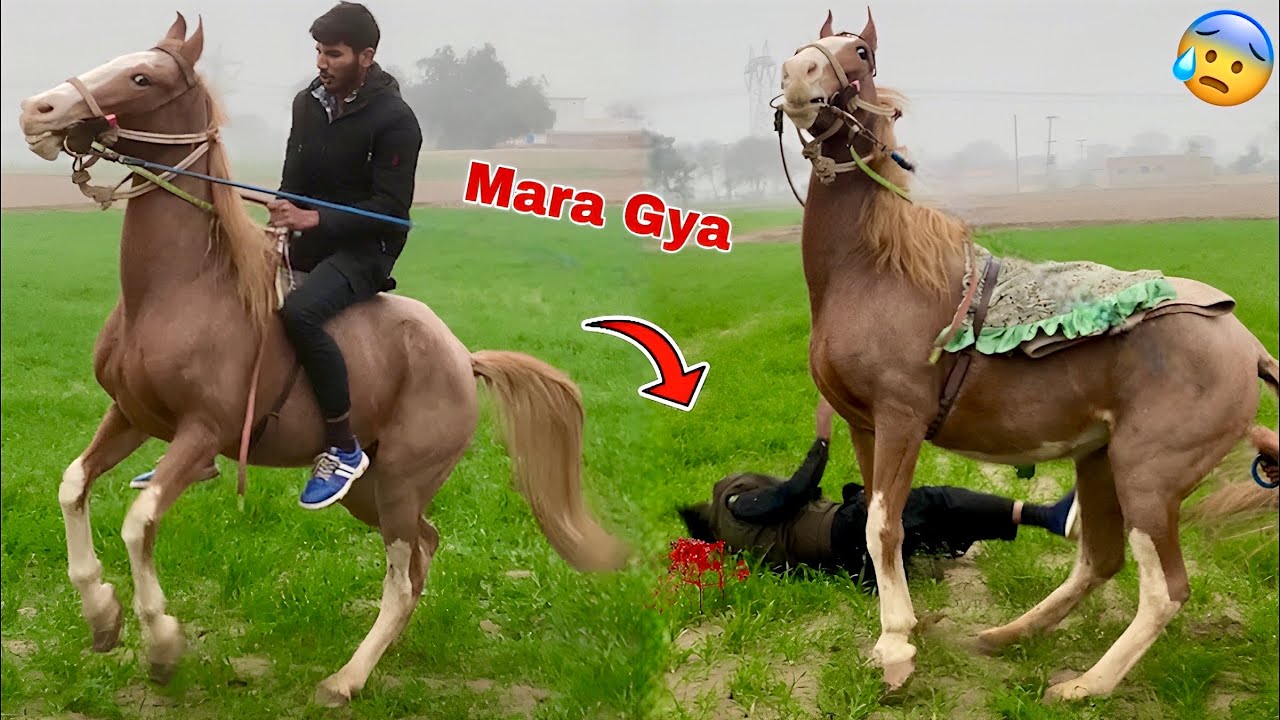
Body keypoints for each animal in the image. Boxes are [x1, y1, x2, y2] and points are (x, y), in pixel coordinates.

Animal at [17, 12, 630, 707]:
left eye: (142, 77)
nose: (37, 110)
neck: (182, 289)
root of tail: (462, 357)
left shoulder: (202, 431)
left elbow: (138, 523)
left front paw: (163, 643)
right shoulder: (131, 416)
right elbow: (73, 487)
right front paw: (101, 613)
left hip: (401, 484)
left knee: (401, 575)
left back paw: (346, 679)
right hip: (376, 491)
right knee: (424, 551)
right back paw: (383, 657)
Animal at [774, 8, 1278, 702]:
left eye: (861, 53)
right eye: (810, 43)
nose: (799, 75)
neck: (876, 270)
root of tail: (1247, 345)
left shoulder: (902, 418)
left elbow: (883, 527)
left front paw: (897, 647)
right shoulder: (863, 426)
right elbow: (880, 525)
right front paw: (893, 637)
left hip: (1148, 475)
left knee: (1164, 590)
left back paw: (1086, 686)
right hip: (1100, 460)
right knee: (1099, 559)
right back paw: (1007, 636)